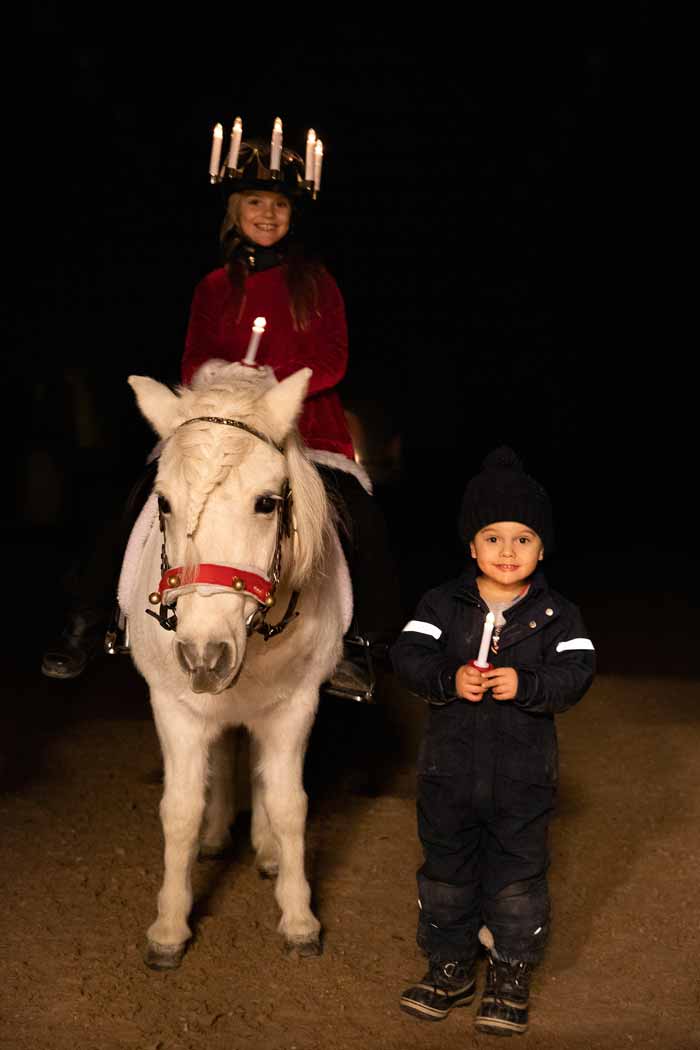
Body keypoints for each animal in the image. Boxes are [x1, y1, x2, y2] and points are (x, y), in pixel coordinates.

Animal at [126, 365, 350, 970]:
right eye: (164, 503)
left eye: (266, 503)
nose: (204, 656)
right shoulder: (175, 707)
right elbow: (179, 809)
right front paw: (169, 926)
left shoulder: (296, 706)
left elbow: (290, 804)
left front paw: (299, 918)